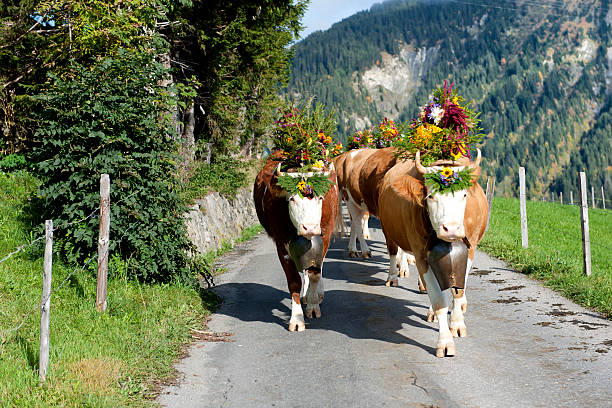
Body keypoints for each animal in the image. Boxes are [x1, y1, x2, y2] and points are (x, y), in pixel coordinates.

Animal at [253, 153, 340, 332]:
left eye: (321, 198)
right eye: (292, 199)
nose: (310, 227)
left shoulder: (325, 235)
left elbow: (315, 273)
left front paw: (313, 307)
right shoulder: (281, 243)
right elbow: (294, 281)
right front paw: (297, 319)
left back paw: (317, 294)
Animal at [378, 150, 488, 356]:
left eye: (463, 194)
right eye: (431, 196)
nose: (451, 228)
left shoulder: (469, 250)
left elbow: (458, 290)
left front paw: (457, 324)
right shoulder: (421, 255)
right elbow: (438, 300)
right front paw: (445, 342)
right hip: (388, 231)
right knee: (393, 252)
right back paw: (393, 277)